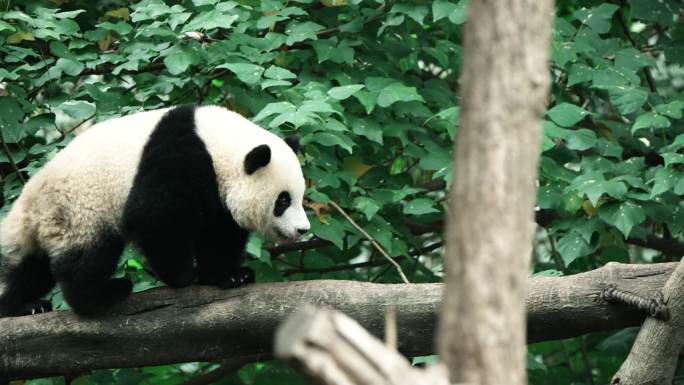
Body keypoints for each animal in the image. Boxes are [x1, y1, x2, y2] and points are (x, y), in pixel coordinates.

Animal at [0, 104, 310, 316]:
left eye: (299, 196)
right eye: (283, 200)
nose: (303, 229)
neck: (220, 145)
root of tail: (28, 200)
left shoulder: (218, 195)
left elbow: (219, 232)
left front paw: (229, 275)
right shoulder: (179, 156)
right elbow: (153, 217)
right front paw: (184, 276)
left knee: (32, 269)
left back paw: (22, 305)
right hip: (79, 207)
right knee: (88, 256)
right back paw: (103, 294)